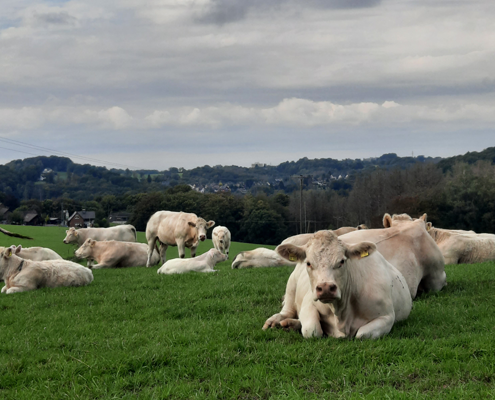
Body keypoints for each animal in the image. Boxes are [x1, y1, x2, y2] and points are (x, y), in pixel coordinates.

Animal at [266, 230, 412, 340]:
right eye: (308, 263)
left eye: (342, 261)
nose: (325, 288)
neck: (341, 314)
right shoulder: (308, 303)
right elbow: (312, 330)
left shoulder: (387, 316)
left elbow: (362, 334)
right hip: (291, 286)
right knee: (287, 311)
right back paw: (276, 321)